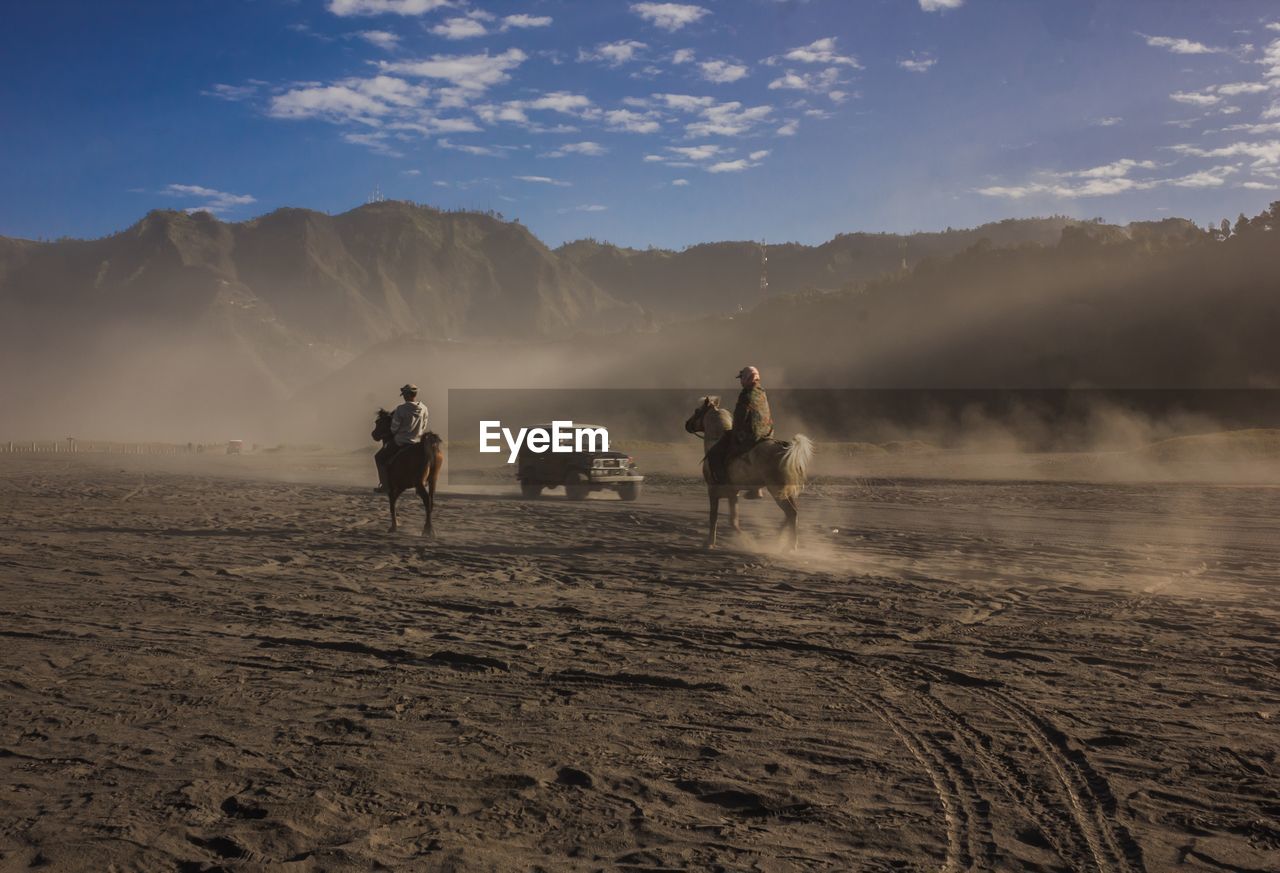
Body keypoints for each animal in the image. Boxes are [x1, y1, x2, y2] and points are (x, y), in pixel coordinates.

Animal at [371, 409, 445, 537]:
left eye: (378, 422)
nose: (373, 434)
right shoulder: (401, 487)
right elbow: (394, 503)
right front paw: (394, 525)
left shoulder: (392, 488)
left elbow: (392, 505)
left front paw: (393, 527)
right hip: (433, 480)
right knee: (431, 501)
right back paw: (430, 529)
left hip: (419, 484)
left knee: (427, 501)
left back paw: (427, 529)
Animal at [686, 396, 814, 547]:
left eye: (697, 411)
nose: (687, 424)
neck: (715, 440)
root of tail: (786, 450)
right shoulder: (732, 493)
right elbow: (733, 522)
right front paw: (747, 540)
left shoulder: (712, 490)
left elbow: (714, 518)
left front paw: (710, 543)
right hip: (784, 491)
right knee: (791, 514)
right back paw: (779, 538)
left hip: (776, 490)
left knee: (791, 513)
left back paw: (790, 547)